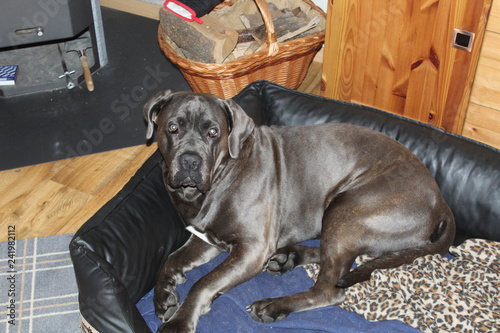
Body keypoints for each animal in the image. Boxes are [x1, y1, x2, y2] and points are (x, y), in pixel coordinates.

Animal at [143, 89, 456, 330]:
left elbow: (204, 283)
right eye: (172, 128)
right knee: (339, 259)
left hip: (346, 210)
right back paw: (289, 257)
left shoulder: (252, 248)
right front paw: (164, 295)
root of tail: (441, 202)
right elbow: (172, 258)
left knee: (329, 289)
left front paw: (179, 322)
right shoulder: (206, 239)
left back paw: (273, 305)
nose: (190, 161)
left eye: (212, 132)